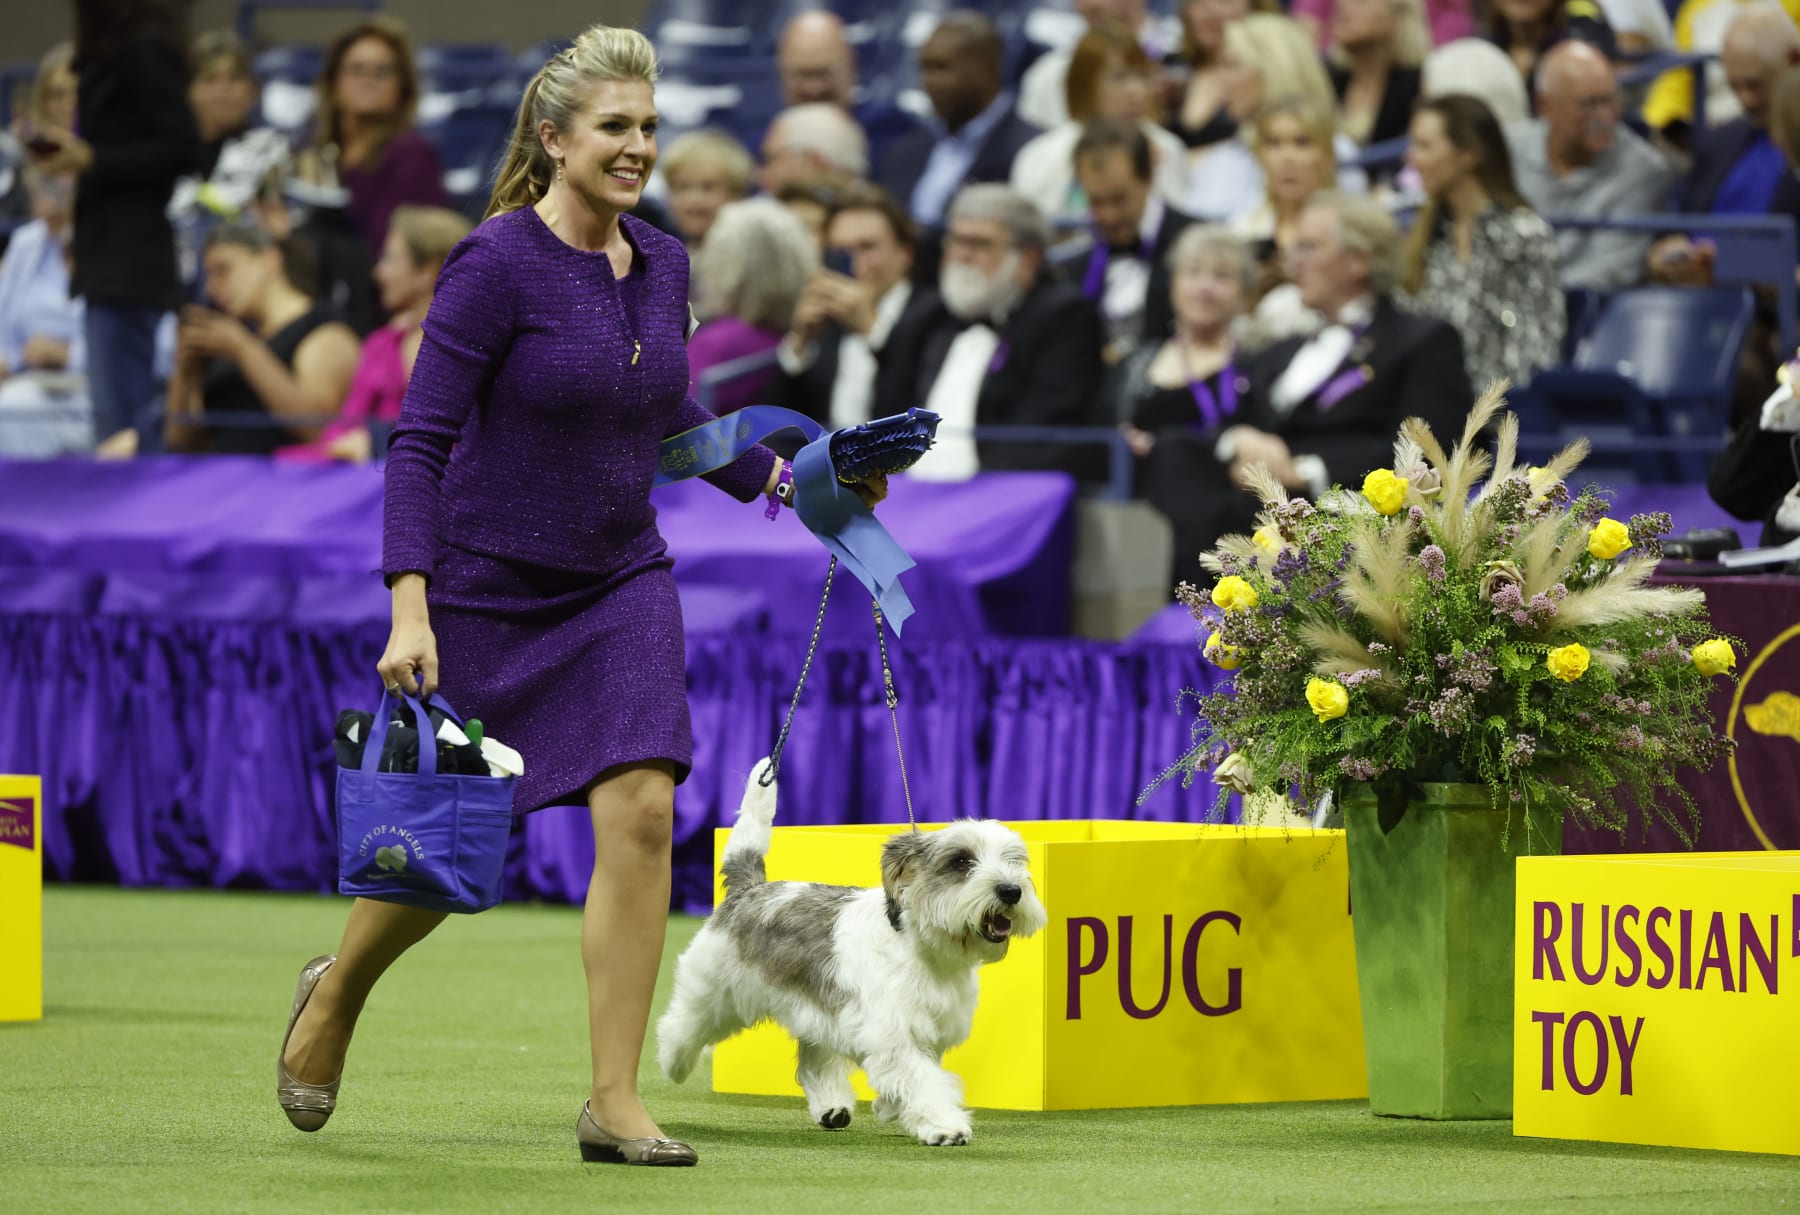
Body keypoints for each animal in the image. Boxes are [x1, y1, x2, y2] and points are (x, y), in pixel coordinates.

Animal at [658, 759, 1051, 1152]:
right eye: (961, 862)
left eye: (1014, 861)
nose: (1011, 890)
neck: (923, 949)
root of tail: (751, 888)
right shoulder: (894, 1035)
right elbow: (924, 1081)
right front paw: (944, 1125)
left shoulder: (928, 1033)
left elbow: (917, 1077)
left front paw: (892, 1106)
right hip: (712, 991)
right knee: (680, 1024)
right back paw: (673, 1062)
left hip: (814, 1011)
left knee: (813, 1062)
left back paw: (831, 1107)